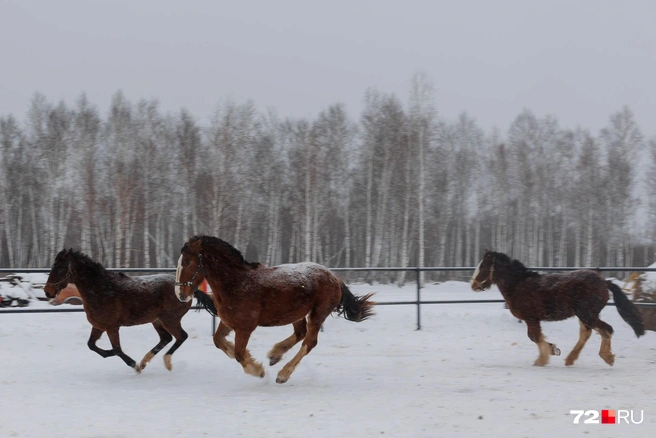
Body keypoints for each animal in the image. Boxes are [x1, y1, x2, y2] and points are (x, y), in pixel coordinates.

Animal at [43, 250, 192, 372]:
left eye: (59, 267)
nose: (47, 292)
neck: (102, 291)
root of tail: (186, 288)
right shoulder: (98, 326)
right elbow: (91, 345)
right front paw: (120, 357)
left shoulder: (112, 327)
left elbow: (117, 349)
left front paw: (133, 364)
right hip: (157, 320)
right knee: (166, 338)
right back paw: (144, 362)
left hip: (169, 320)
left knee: (181, 336)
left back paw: (165, 362)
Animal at [174, 236, 374, 384]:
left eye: (187, 262)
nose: (180, 294)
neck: (237, 283)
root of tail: (335, 278)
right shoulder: (228, 322)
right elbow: (218, 341)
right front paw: (250, 358)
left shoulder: (245, 328)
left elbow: (239, 354)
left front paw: (257, 370)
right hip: (296, 314)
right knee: (300, 333)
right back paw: (274, 355)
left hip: (318, 314)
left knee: (309, 342)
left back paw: (283, 374)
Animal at [472, 250, 644, 366]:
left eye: (484, 266)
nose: (473, 285)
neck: (518, 285)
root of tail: (604, 281)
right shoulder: (533, 319)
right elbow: (535, 337)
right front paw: (552, 350)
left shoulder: (531, 318)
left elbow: (535, 337)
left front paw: (544, 358)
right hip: (585, 315)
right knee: (588, 333)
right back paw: (570, 359)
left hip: (587, 314)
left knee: (606, 330)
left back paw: (607, 357)